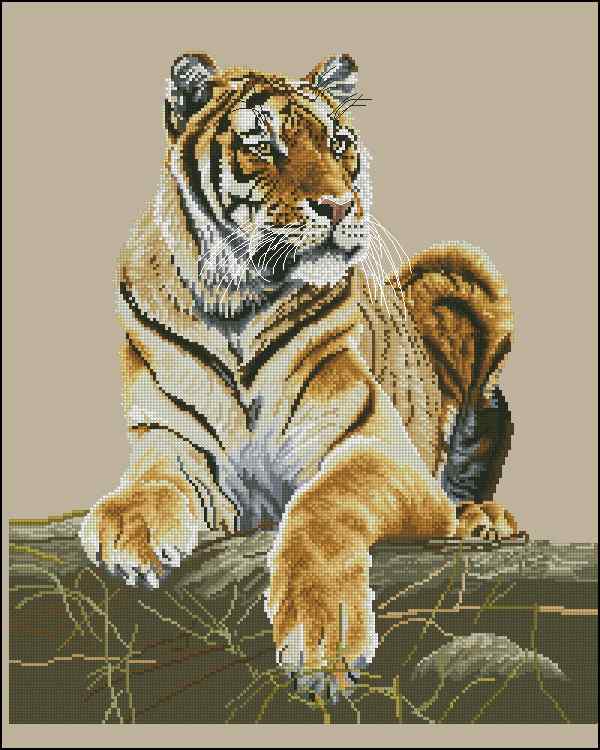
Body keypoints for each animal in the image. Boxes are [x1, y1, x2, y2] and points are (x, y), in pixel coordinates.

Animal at [79, 51, 522, 693]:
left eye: (339, 144)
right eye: (264, 144)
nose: (338, 206)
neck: (235, 302)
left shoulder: (376, 446)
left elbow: (322, 506)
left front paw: (324, 640)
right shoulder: (168, 435)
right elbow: (154, 480)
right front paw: (128, 531)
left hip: (458, 271)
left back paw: (481, 519)